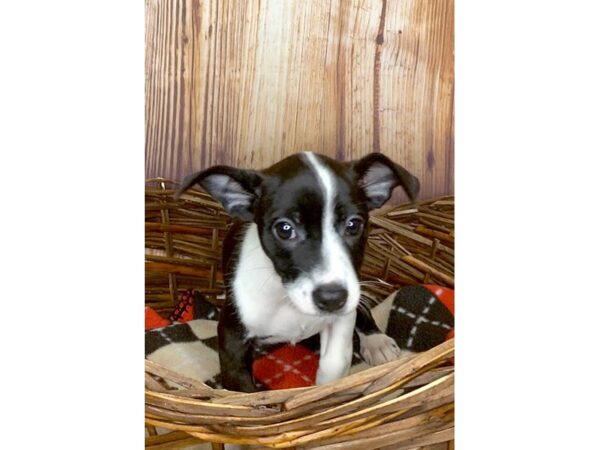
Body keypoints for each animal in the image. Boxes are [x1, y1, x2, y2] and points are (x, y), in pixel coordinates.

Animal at [176, 151, 420, 390]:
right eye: (285, 229)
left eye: (353, 225)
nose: (332, 298)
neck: (287, 298)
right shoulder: (231, 336)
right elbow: (240, 385)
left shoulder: (343, 316)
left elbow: (336, 360)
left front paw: (324, 390)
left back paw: (376, 341)